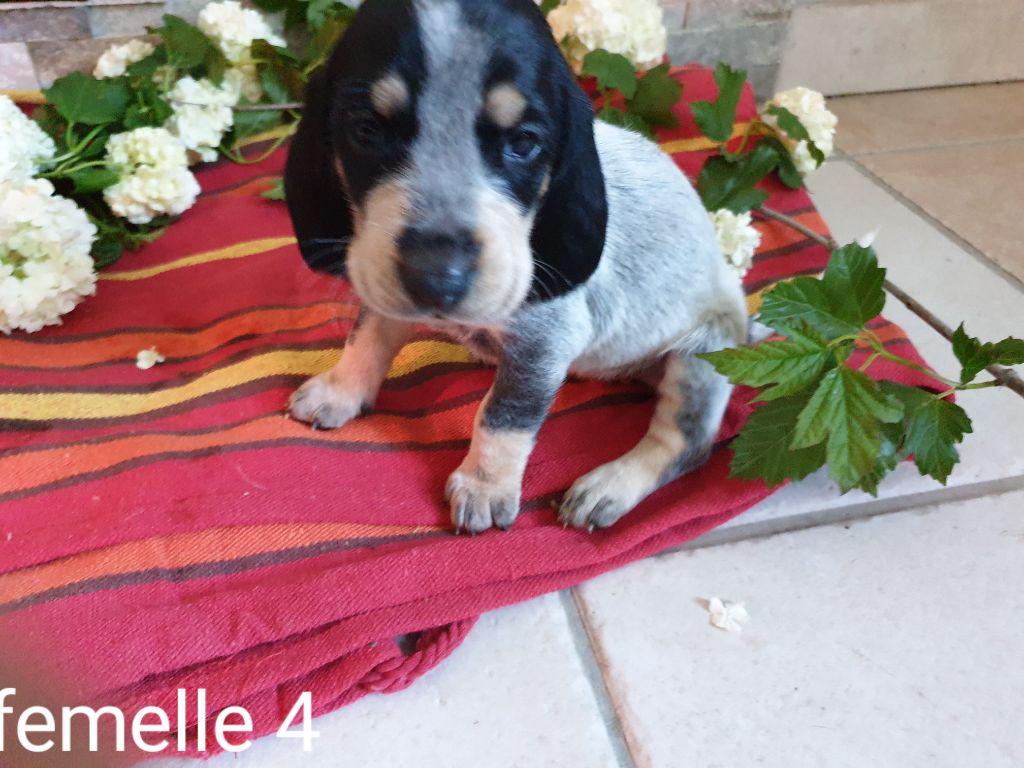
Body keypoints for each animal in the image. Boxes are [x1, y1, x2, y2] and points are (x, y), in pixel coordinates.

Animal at [284, 0, 748, 533]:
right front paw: (340, 390)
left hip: (702, 354)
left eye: (524, 143)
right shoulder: (382, 280)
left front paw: (484, 485)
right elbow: (366, 339)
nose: (436, 278)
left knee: (685, 443)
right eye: (366, 131)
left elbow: (503, 416)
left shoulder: (543, 345)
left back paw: (609, 486)